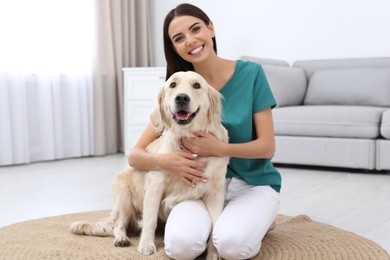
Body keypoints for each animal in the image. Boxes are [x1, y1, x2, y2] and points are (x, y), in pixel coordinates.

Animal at [69, 71, 229, 260]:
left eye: (197, 85)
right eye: (172, 85)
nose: (182, 98)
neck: (187, 139)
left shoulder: (215, 192)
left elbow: (215, 225)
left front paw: (214, 253)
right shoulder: (155, 185)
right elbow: (150, 220)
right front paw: (146, 245)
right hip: (124, 194)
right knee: (118, 225)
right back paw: (121, 238)